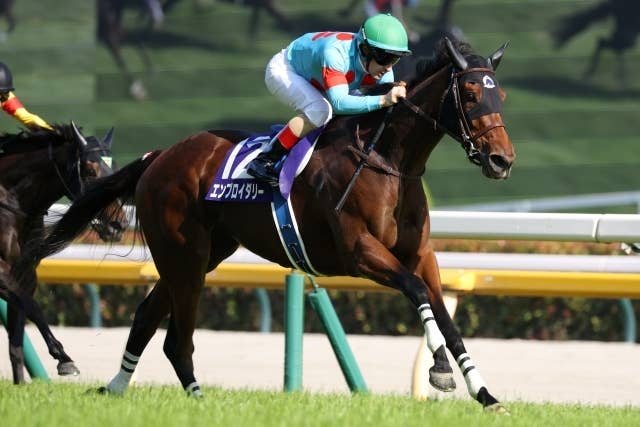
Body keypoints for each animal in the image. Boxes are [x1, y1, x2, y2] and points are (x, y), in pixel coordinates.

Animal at [1, 122, 129, 384]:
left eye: (114, 168)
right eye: (89, 171)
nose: (119, 225)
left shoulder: (24, 273)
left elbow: (16, 342)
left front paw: (20, 384)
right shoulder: (1, 272)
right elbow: (33, 307)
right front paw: (64, 359)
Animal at [36, 37, 514, 411]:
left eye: (502, 97)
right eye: (471, 93)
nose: (501, 160)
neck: (388, 162)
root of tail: (159, 156)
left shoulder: (420, 253)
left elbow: (446, 316)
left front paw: (486, 394)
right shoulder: (358, 251)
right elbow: (416, 293)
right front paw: (440, 369)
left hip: (202, 254)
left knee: (146, 316)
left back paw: (117, 386)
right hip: (184, 254)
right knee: (176, 336)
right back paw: (195, 396)